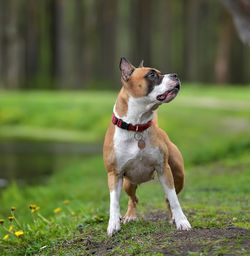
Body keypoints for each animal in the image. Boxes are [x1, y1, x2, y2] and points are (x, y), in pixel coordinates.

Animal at [102, 57, 190, 236]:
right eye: (152, 75)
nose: (175, 75)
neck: (137, 125)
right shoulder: (114, 174)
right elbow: (114, 203)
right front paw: (113, 224)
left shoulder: (164, 170)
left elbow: (174, 200)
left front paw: (182, 221)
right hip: (128, 183)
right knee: (133, 199)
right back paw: (129, 216)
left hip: (178, 175)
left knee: (168, 199)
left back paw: (173, 218)